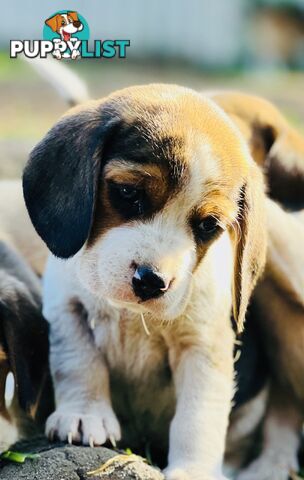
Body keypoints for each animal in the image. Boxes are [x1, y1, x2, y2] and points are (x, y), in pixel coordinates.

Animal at [23, 84, 266, 478]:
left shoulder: (203, 347)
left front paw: (194, 470)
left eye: (208, 225)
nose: (151, 281)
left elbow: (197, 417)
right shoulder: (65, 309)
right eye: (128, 193)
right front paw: (84, 415)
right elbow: (79, 362)